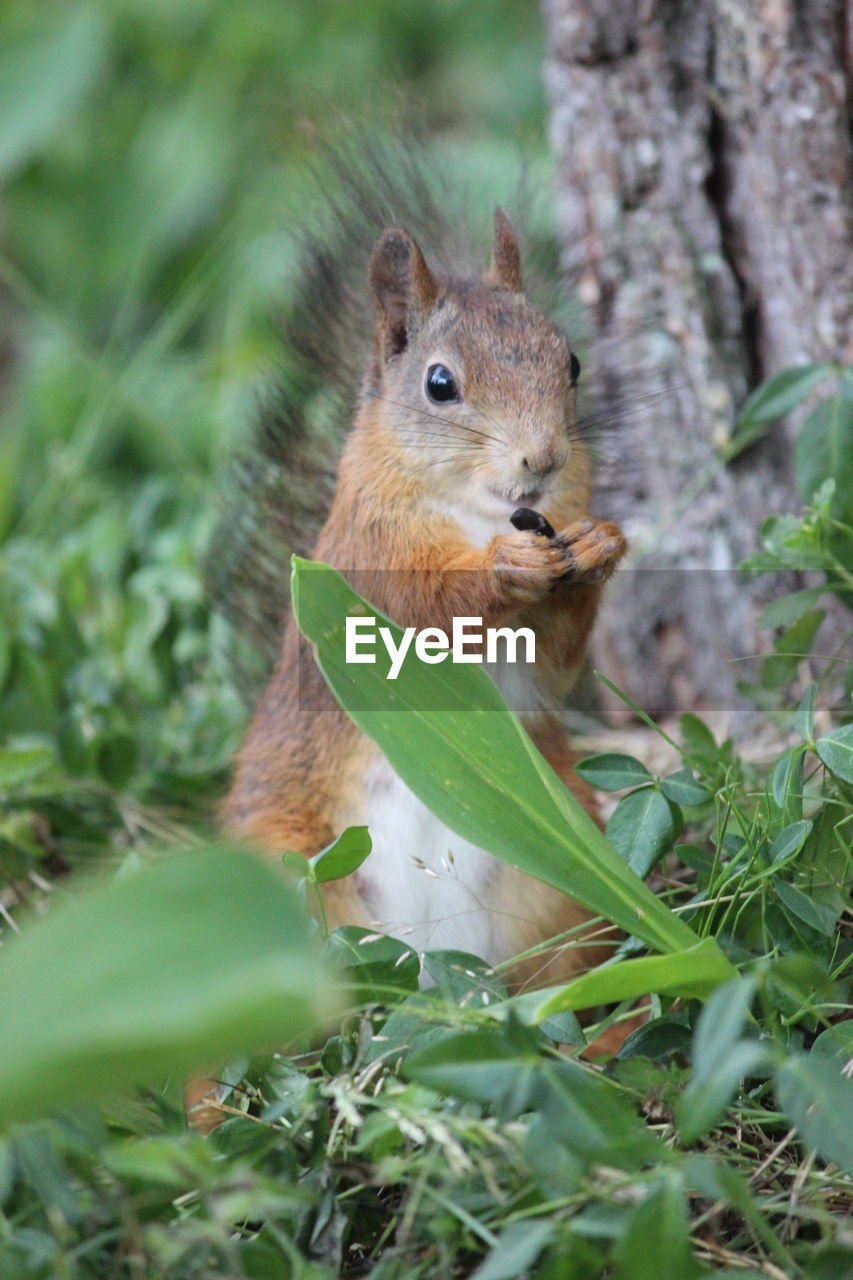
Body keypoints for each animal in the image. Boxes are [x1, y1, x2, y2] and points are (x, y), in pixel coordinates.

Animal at [212, 147, 625, 988]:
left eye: (569, 361)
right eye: (440, 384)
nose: (543, 459)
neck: (478, 513)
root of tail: (434, 967)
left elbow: (552, 665)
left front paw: (598, 546)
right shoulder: (359, 560)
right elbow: (419, 608)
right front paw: (504, 569)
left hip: (557, 881)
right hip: (285, 874)